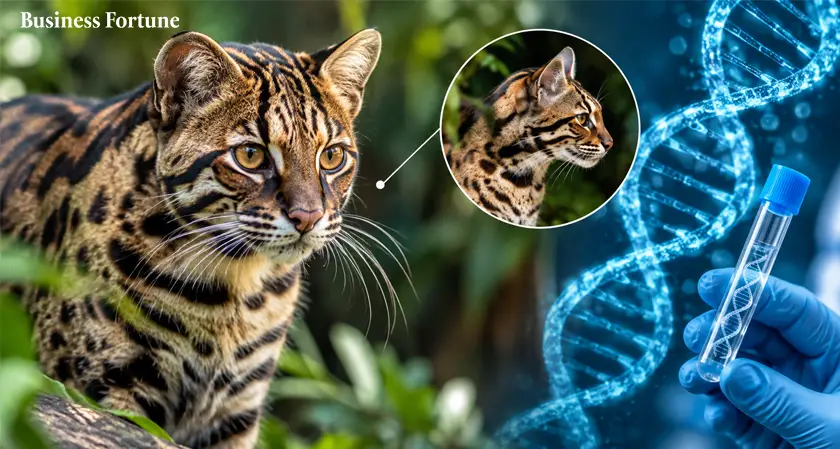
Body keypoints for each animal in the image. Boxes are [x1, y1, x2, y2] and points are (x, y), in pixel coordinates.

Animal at [0, 29, 380, 449]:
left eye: (331, 157)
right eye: (251, 155)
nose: (308, 216)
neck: (232, 290)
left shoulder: (235, 414)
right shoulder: (105, 390)